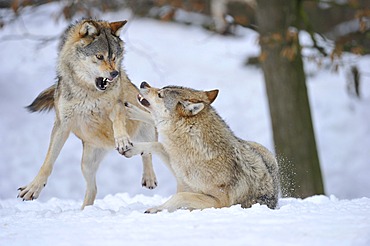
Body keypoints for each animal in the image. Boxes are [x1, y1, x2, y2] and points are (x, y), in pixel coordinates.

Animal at [17, 19, 158, 209]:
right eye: (99, 57)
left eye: (114, 57)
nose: (115, 74)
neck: (88, 92)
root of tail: (107, 147)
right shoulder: (62, 124)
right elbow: (48, 162)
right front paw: (33, 188)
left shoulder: (117, 106)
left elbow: (119, 121)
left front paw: (121, 139)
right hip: (86, 163)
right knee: (93, 189)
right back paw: (85, 210)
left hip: (146, 128)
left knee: (147, 152)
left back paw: (148, 177)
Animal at [124, 81, 280, 212]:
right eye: (161, 89)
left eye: (160, 94)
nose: (143, 83)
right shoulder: (180, 177)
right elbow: (156, 144)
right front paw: (130, 148)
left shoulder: (219, 202)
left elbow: (180, 196)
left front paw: (156, 209)